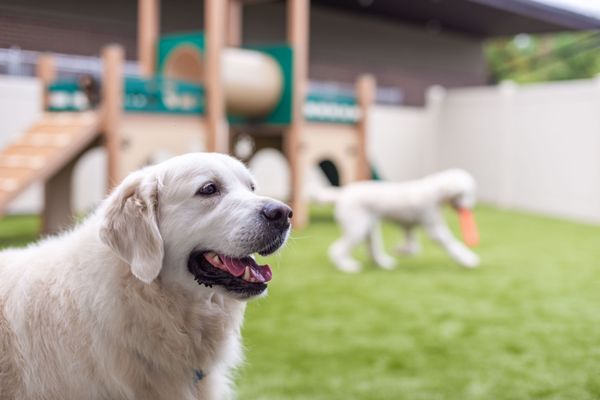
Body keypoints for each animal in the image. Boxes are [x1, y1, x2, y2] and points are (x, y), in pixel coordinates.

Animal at [322, 167, 480, 274]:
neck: (436, 192)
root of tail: (341, 194)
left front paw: (401, 250)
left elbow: (413, 247)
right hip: (357, 227)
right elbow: (452, 244)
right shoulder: (433, 227)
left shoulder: (408, 226)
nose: (470, 208)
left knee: (372, 250)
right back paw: (346, 266)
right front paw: (468, 260)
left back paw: (384, 264)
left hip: (369, 227)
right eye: (467, 193)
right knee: (336, 249)